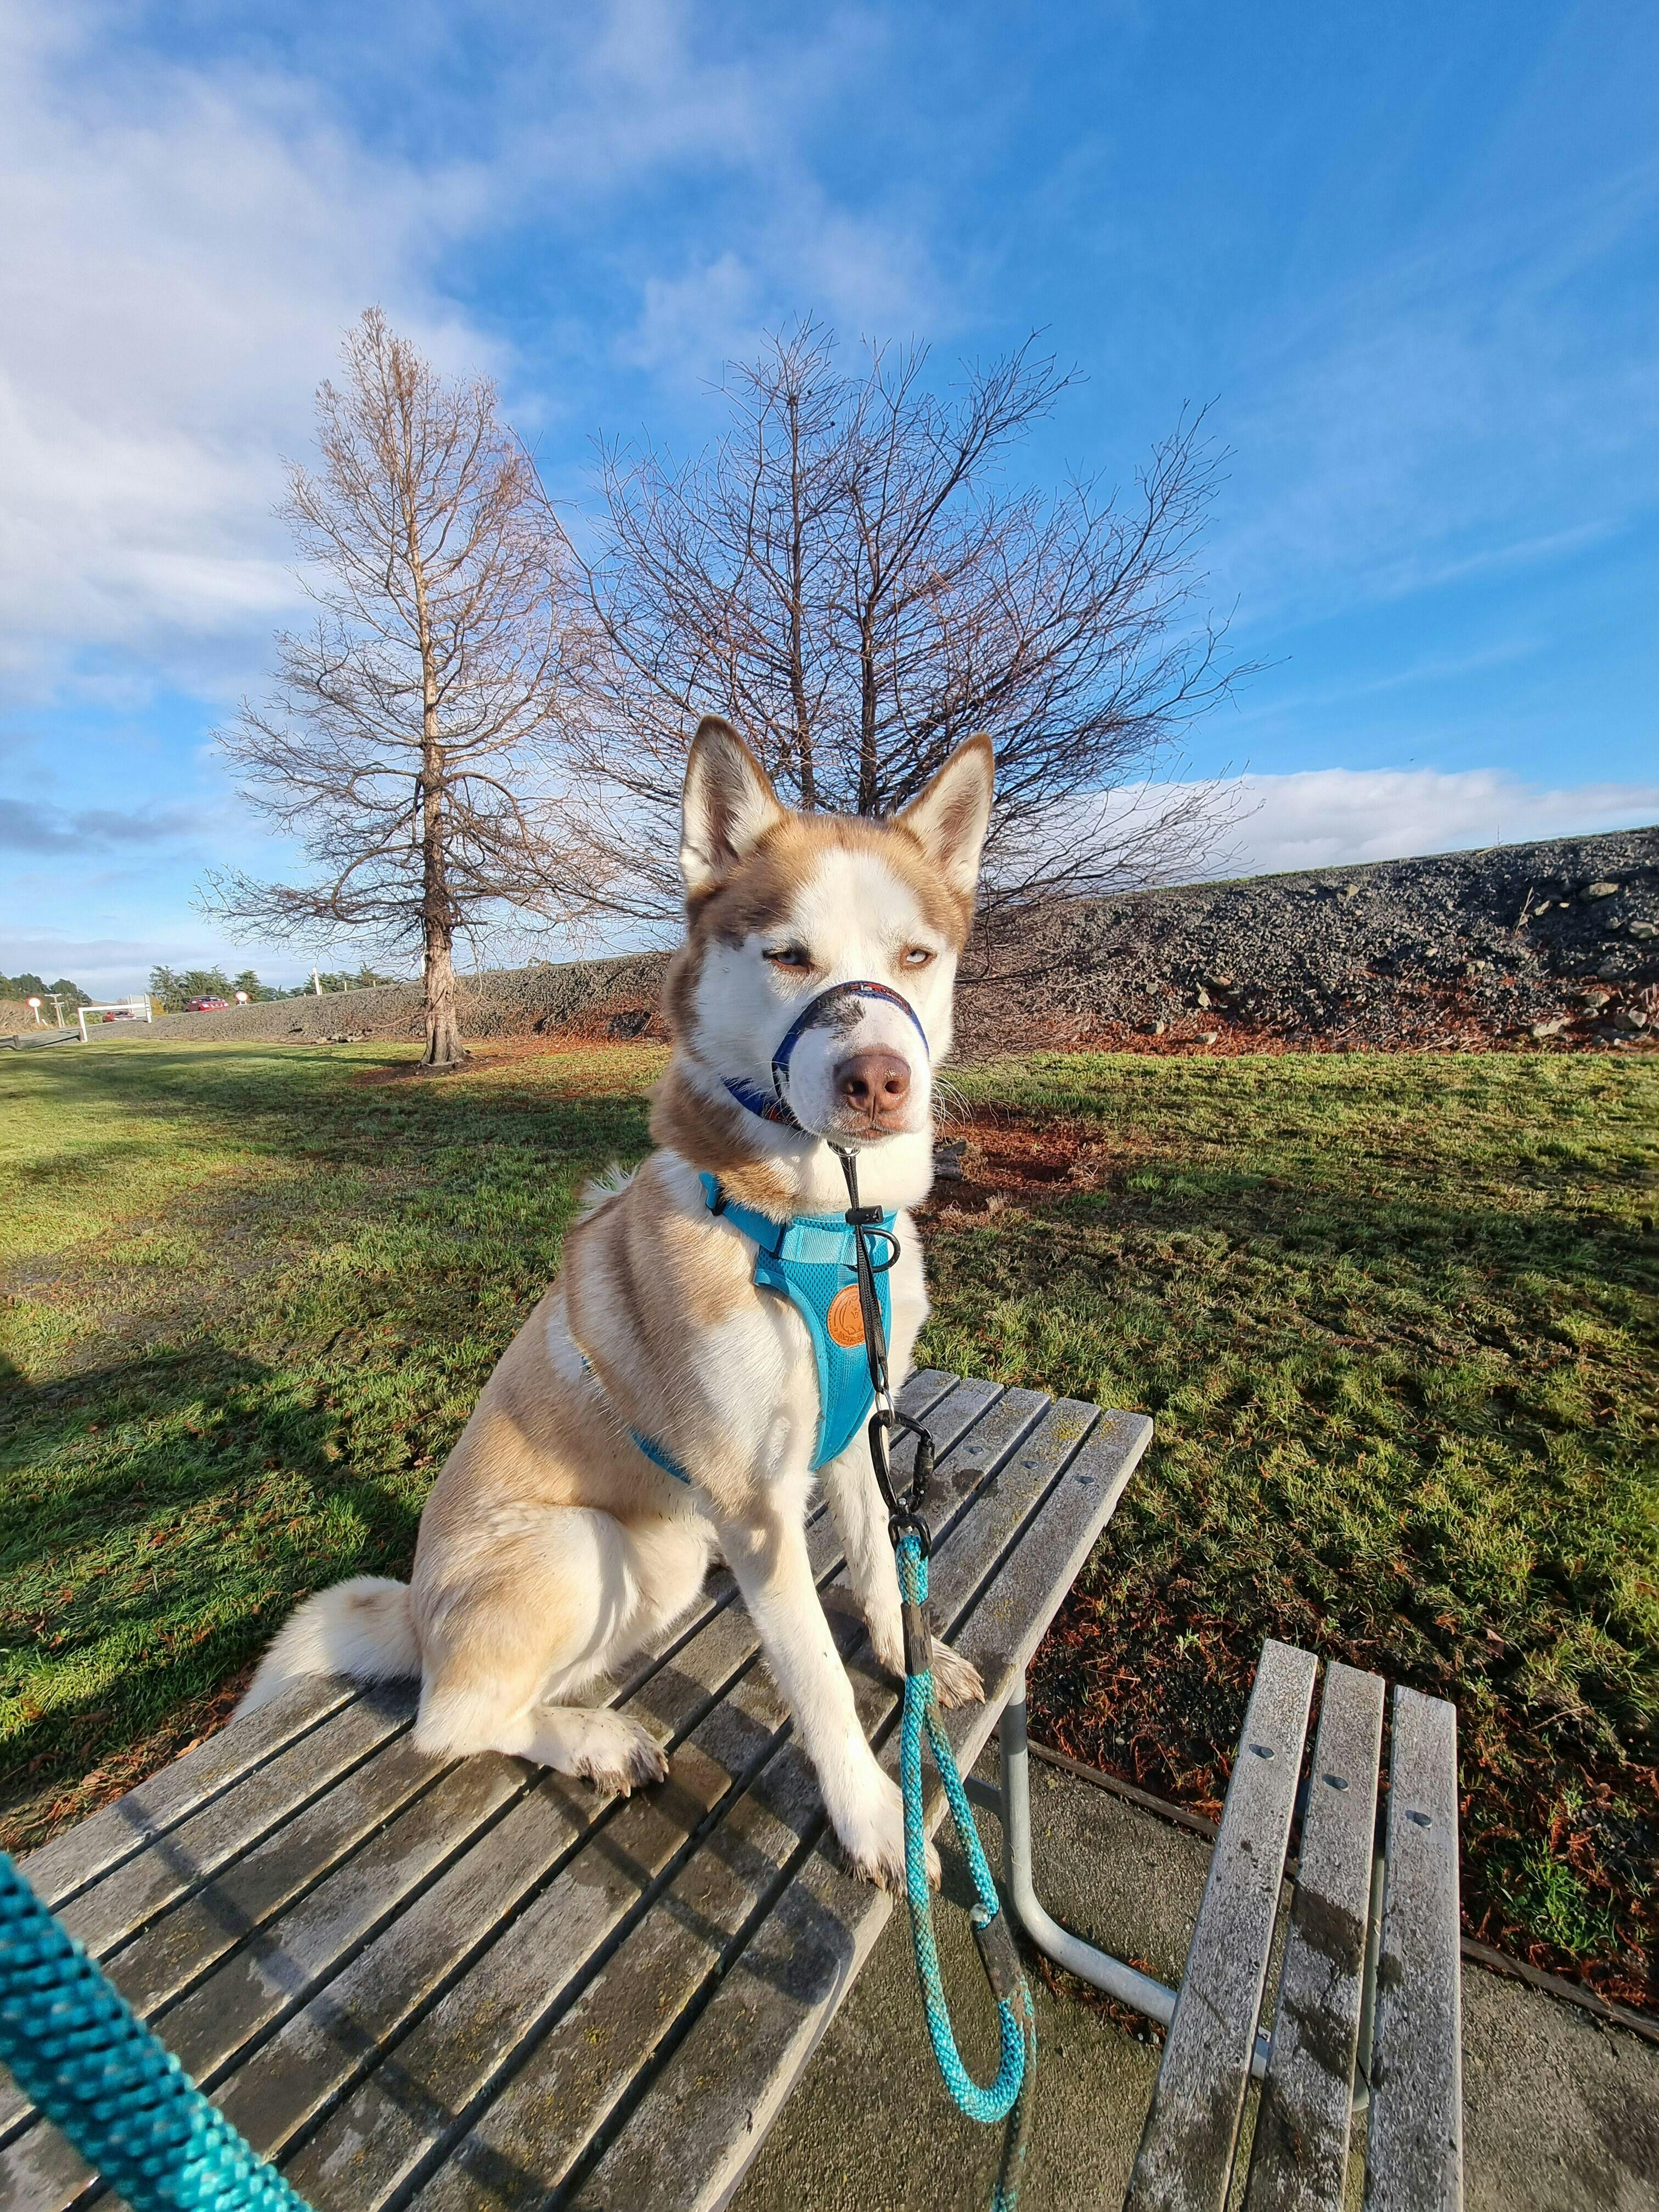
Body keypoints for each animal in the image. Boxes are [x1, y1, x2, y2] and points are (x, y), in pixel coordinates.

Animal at [238, 716, 994, 1888]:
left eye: (915, 956)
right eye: (788, 956)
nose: (877, 1079)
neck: (823, 1224)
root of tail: (416, 1613)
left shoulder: (853, 1438)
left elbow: (878, 1568)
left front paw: (913, 1657)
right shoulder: (752, 1501)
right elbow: (814, 1678)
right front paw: (872, 1813)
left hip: (666, 1557)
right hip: (597, 1551)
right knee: (446, 1721)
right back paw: (593, 1740)